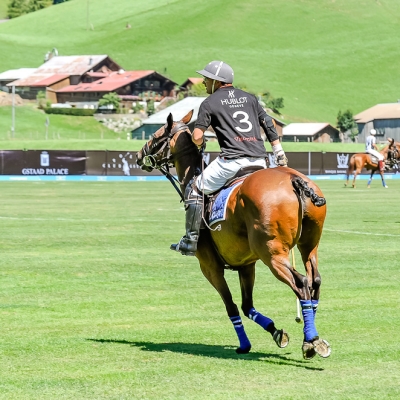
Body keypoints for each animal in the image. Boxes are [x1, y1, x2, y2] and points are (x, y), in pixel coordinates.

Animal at [136, 109, 330, 360]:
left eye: (156, 135)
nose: (139, 155)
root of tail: (293, 180)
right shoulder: (247, 265)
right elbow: (248, 306)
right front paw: (277, 333)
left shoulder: (210, 267)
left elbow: (231, 306)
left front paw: (244, 344)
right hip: (309, 244)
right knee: (315, 280)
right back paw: (314, 339)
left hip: (272, 253)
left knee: (301, 283)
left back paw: (310, 341)